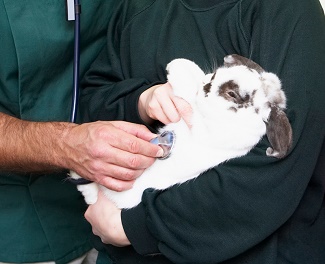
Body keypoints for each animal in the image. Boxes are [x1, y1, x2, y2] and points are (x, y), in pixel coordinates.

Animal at [69, 54, 292, 208]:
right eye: (216, 75)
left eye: (232, 94)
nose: (207, 86)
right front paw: (179, 65)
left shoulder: (205, 127)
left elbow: (191, 97)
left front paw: (176, 69)